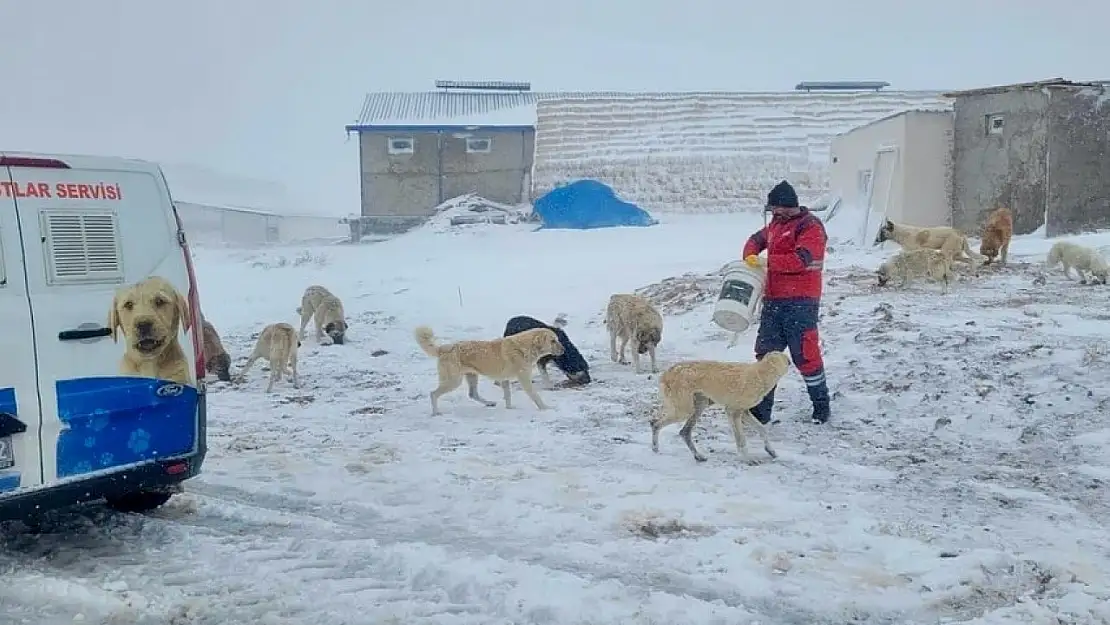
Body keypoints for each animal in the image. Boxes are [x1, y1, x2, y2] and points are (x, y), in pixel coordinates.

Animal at [417, 328, 568, 415]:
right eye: (553, 341)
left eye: (557, 339)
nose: (564, 350)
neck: (524, 347)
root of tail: (443, 348)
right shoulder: (524, 378)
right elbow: (535, 396)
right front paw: (545, 408)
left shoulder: (505, 379)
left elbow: (508, 396)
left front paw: (510, 408)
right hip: (453, 381)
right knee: (433, 394)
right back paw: (436, 412)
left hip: (472, 377)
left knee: (472, 394)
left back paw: (489, 403)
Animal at [648, 353, 794, 464]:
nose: (791, 361)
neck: (760, 374)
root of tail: (666, 373)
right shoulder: (733, 412)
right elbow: (741, 440)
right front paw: (747, 459)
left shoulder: (744, 413)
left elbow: (762, 429)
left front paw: (770, 450)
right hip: (684, 411)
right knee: (656, 424)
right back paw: (655, 449)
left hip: (699, 406)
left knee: (684, 432)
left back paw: (697, 456)